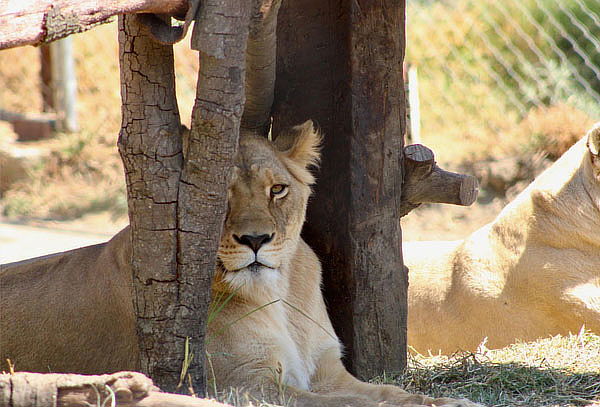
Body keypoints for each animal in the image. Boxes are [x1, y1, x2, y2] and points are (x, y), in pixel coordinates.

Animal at [0, 122, 478, 407]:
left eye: (277, 190)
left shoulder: (327, 371)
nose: (255, 240)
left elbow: (392, 392)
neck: (278, 296)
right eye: (220, 195)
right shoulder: (246, 386)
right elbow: (350, 404)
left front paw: (451, 402)